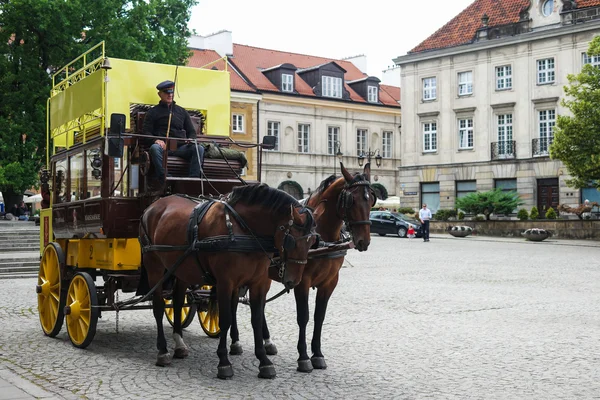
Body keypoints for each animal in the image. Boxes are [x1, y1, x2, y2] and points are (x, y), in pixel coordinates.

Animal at [140, 184, 316, 378]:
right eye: (292, 241)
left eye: (312, 242)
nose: (294, 281)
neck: (243, 229)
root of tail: (153, 206)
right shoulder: (225, 282)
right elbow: (225, 319)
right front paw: (224, 363)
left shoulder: (258, 282)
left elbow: (256, 319)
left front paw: (264, 361)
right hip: (154, 266)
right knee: (158, 307)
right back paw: (162, 352)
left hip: (180, 268)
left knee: (178, 301)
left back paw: (179, 344)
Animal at [230, 162, 376, 372]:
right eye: (352, 200)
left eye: (371, 199)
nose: (364, 241)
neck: (322, 238)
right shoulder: (301, 281)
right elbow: (304, 317)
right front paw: (304, 357)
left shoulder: (330, 282)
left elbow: (319, 317)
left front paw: (318, 354)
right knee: (234, 303)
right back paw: (235, 342)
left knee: (258, 305)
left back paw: (267, 342)